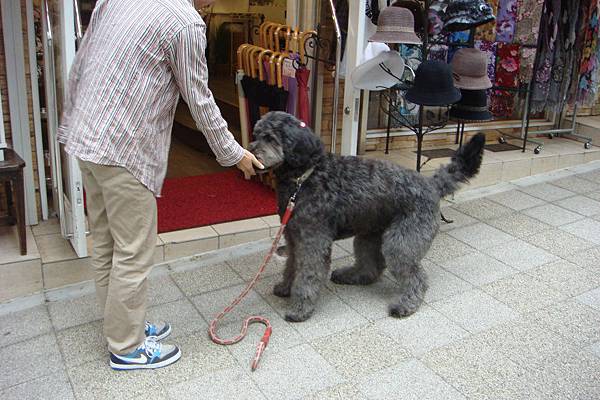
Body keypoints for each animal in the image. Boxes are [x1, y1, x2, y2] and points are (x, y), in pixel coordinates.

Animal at [250, 110, 488, 322]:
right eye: (256, 134)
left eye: (270, 138)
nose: (252, 152)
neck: (304, 177)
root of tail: (430, 184)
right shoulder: (293, 237)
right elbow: (291, 265)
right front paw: (285, 288)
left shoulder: (312, 242)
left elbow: (308, 275)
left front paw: (300, 309)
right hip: (369, 235)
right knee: (371, 268)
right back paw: (349, 275)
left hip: (400, 243)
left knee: (417, 277)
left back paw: (406, 304)